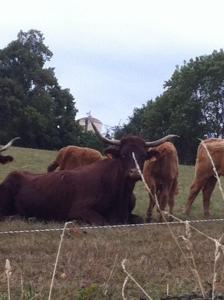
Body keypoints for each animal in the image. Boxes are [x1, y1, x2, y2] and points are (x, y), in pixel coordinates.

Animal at [0, 120, 177, 224]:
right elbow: (103, 221)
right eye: (124, 154)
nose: (134, 173)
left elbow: (139, 219)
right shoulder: (79, 210)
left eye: (143, 156)